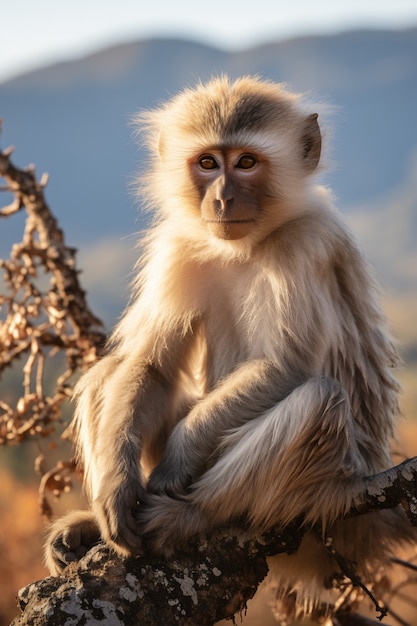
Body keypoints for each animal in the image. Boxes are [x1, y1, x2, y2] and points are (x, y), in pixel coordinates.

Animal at [44, 75, 410, 616]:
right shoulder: (177, 245)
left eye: (247, 162)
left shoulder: (307, 241)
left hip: (336, 498)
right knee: (108, 375)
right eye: (208, 163)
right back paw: (92, 525)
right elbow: (149, 364)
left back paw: (191, 515)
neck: (249, 244)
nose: (221, 199)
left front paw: (179, 459)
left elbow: (287, 367)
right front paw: (115, 491)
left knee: (320, 401)